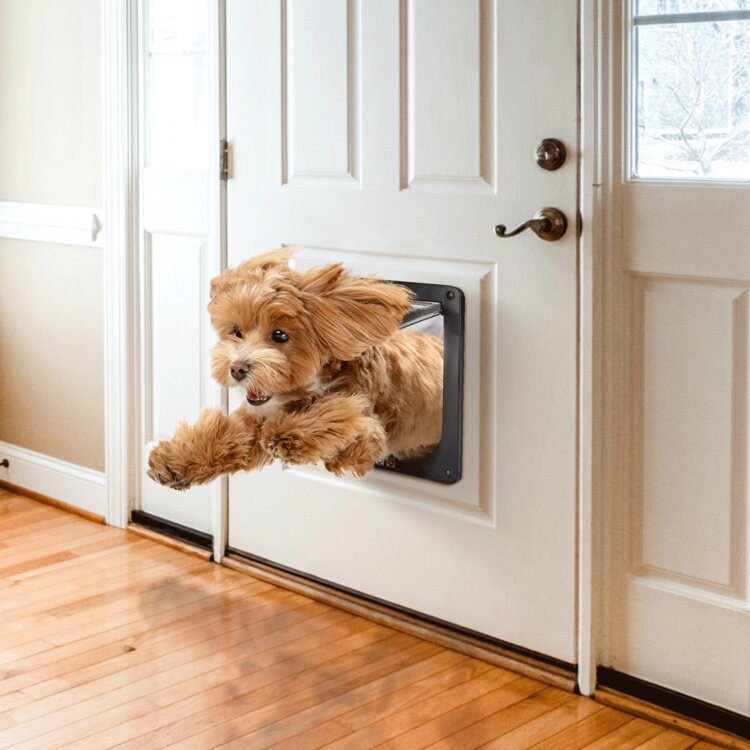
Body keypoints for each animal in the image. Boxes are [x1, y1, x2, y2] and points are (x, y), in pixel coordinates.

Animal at [145, 250, 444, 490]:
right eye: (237, 331)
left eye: (280, 335)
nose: (237, 368)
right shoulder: (256, 418)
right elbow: (228, 433)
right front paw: (174, 462)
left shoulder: (369, 427)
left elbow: (339, 417)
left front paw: (289, 435)